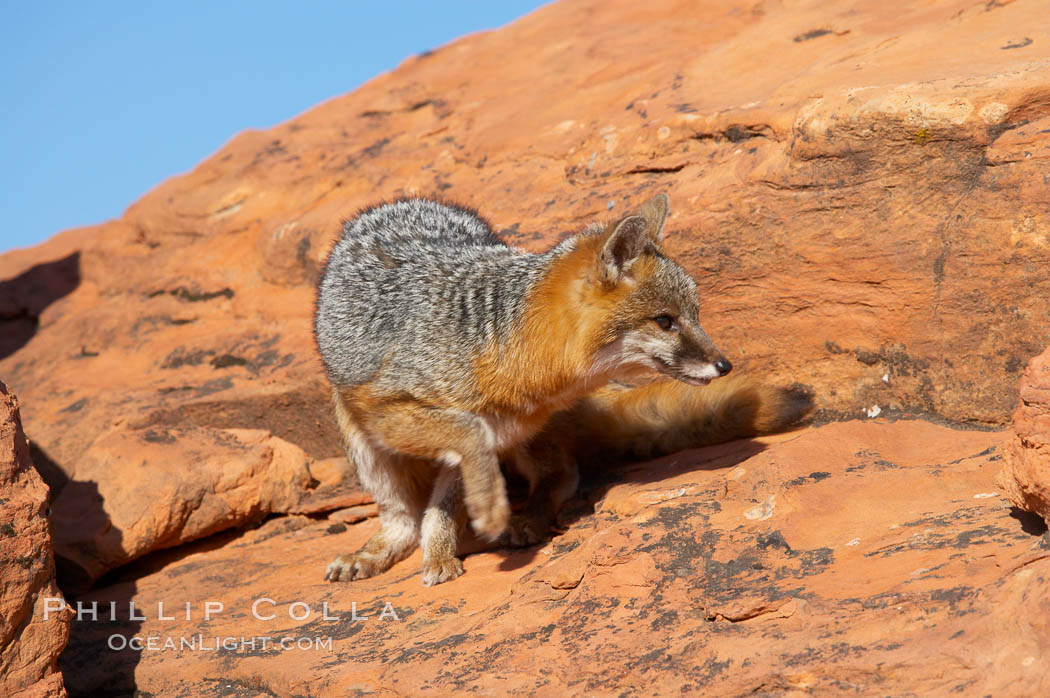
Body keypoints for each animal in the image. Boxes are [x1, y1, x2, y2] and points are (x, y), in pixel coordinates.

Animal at [312, 193, 810, 583]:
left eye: (696, 315)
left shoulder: (487, 436)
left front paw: (448, 548)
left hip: (524, 437)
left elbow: (445, 505)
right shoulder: (391, 412)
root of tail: (394, 205)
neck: (508, 347)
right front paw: (484, 513)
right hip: (359, 436)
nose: (724, 365)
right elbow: (464, 444)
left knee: (563, 473)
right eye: (665, 322)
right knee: (402, 520)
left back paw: (529, 517)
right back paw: (377, 550)